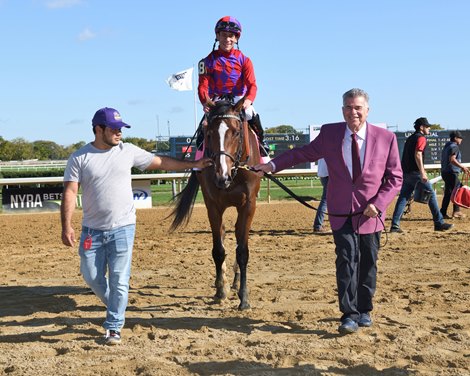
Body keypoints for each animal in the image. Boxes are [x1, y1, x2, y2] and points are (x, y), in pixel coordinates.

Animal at [171, 98, 262, 310]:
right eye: (209, 133)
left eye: (236, 132)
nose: (222, 175)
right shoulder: (212, 205)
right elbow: (218, 250)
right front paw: (221, 290)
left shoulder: (249, 205)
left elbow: (242, 251)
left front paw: (244, 298)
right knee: (223, 234)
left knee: (237, 236)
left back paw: (236, 282)